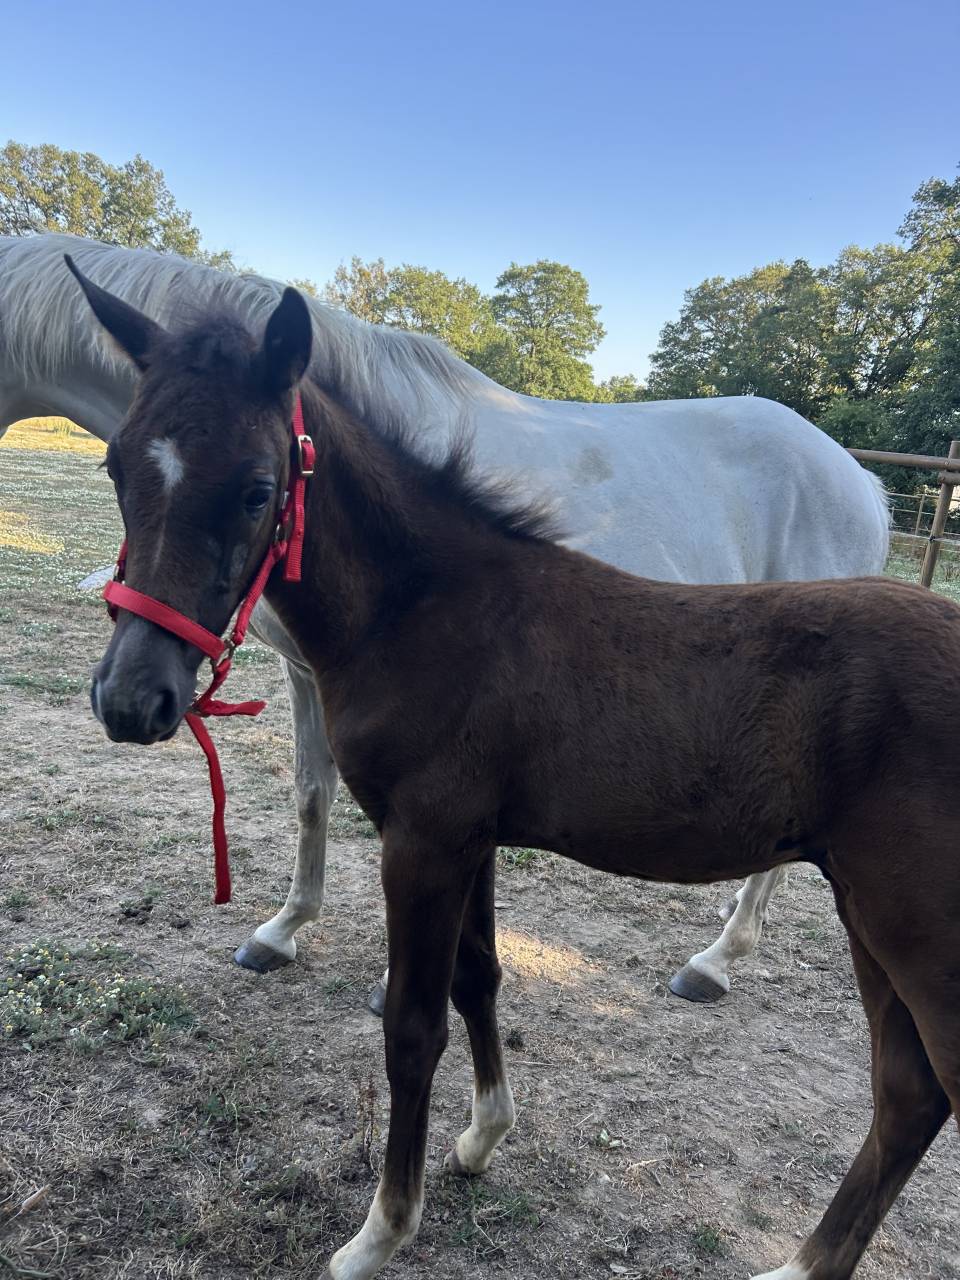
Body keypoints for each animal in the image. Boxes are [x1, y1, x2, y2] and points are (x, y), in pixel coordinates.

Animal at [0, 233, 892, 1006]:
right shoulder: (307, 671)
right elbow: (311, 795)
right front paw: (283, 930)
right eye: (114, 468)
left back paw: (716, 961)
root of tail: (860, 480)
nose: (125, 703)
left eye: (257, 490)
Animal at [68, 266, 959, 1280]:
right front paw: (483, 1139)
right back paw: (801, 1263)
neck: (425, 606)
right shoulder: (471, 839)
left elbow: (413, 1026)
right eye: (116, 467)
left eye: (259, 490)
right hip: (874, 918)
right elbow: (480, 980)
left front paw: (379, 1233)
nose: (132, 699)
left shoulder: (424, 839)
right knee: (908, 1094)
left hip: (913, 926)